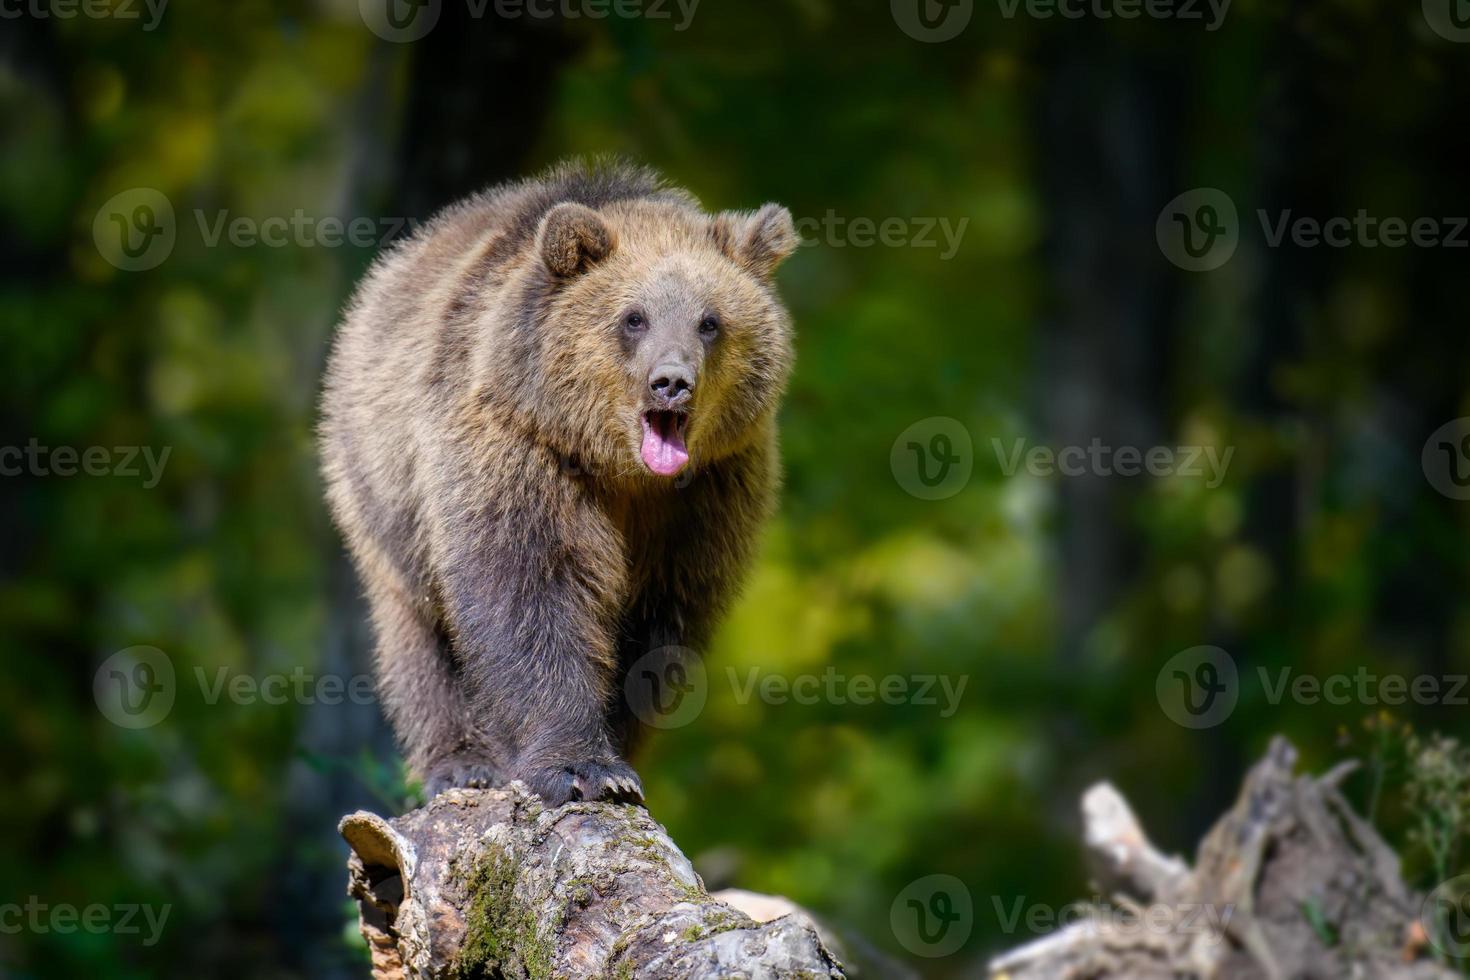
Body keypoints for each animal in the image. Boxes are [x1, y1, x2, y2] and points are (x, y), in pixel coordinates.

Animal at [318, 160, 793, 805]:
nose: (671, 382)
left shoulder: (707, 497)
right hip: (380, 490)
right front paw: (582, 766)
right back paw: (461, 760)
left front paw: (617, 751)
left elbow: (654, 631)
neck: (621, 471)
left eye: (710, 321)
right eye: (633, 317)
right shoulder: (519, 449)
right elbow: (533, 588)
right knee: (419, 635)